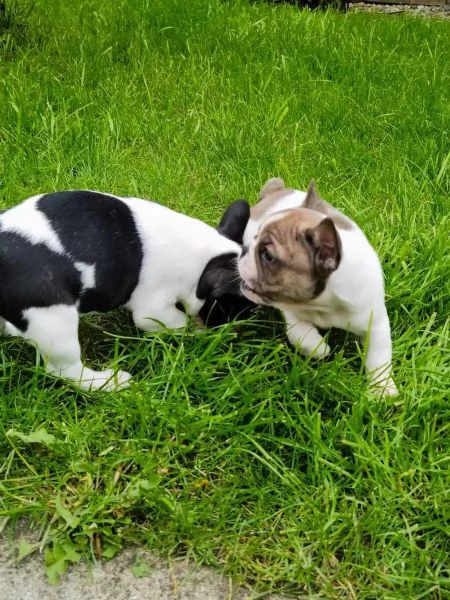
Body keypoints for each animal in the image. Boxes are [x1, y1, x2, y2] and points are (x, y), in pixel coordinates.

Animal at [0, 190, 250, 392]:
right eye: (241, 309)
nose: (236, 330)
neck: (206, 258)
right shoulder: (154, 310)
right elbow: (177, 322)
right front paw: (198, 332)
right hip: (54, 319)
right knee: (65, 370)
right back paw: (107, 383)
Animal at [239, 176, 398, 396]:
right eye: (256, 239)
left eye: (268, 256)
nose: (244, 249)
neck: (325, 304)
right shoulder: (291, 310)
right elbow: (300, 335)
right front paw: (319, 348)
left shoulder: (375, 322)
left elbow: (379, 358)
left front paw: (383, 389)